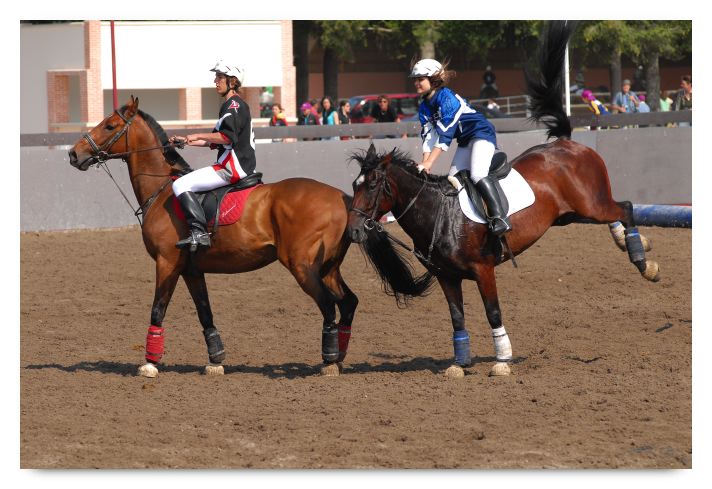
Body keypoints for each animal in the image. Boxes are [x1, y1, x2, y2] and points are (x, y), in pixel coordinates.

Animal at [68, 96, 358, 378]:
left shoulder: (166, 263)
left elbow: (158, 309)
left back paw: (329, 361)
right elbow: (204, 312)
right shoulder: (191, 270)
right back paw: (340, 356)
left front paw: (150, 363)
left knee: (329, 305)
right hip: (328, 268)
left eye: (110, 126)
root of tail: (341, 197)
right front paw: (215, 360)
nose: (73, 153)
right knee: (348, 303)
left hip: (302, 266)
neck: (161, 190)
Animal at [347, 21, 660, 378]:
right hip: (571, 214)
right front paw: (459, 363)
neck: (438, 214)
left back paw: (644, 262)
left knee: (625, 207)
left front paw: (502, 361)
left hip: (590, 205)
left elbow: (492, 312)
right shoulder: (447, 277)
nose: (353, 230)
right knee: (615, 215)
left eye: (372, 185)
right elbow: (457, 317)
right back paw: (627, 242)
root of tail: (567, 143)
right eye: (355, 185)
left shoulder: (483, 270)